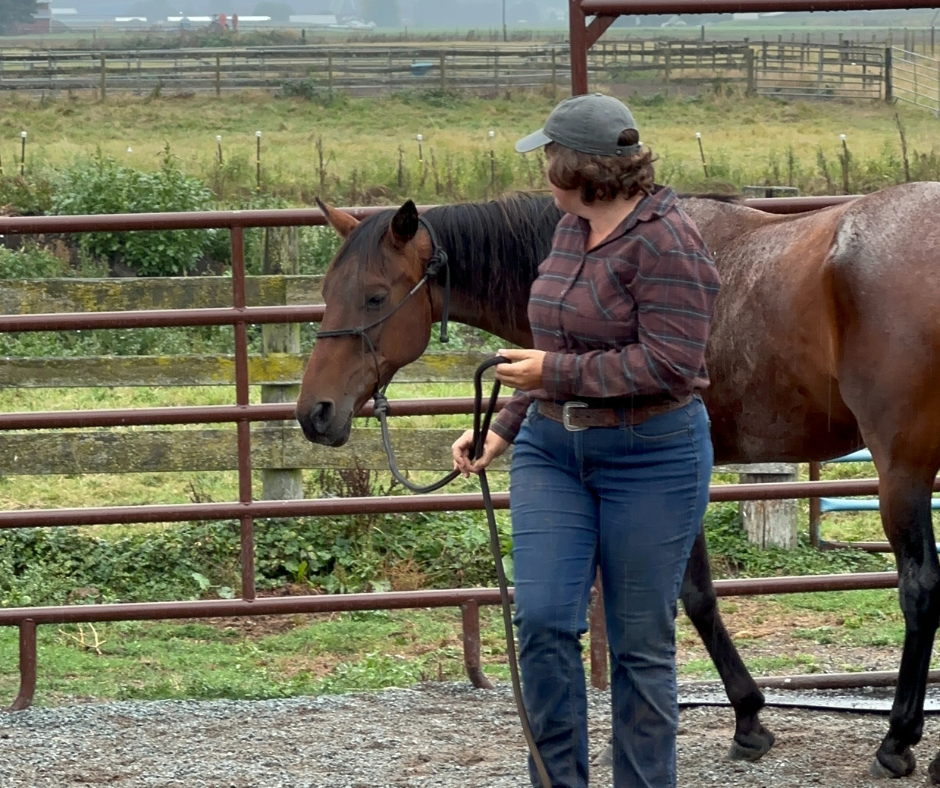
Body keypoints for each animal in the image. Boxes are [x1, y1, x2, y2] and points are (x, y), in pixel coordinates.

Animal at [298, 185, 940, 780]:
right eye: (327, 293)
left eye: (375, 296)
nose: (314, 413)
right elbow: (696, 595)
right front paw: (747, 717)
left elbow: (692, 596)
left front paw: (739, 720)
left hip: (903, 470)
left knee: (921, 589)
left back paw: (898, 742)